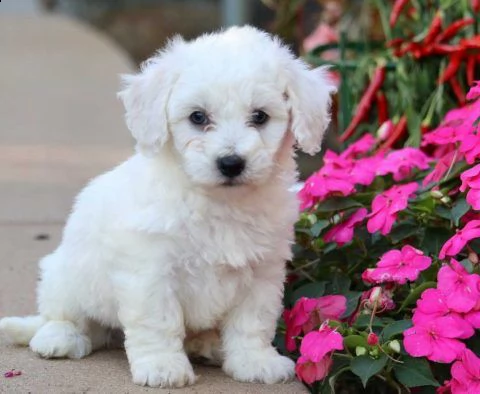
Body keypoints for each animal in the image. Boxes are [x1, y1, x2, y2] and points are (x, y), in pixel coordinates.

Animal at [0, 26, 334, 388]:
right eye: (198, 117)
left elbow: (253, 321)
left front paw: (255, 361)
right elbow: (157, 321)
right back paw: (58, 337)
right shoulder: (150, 271)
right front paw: (162, 366)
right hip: (66, 274)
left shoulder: (263, 271)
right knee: (63, 314)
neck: (217, 201)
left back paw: (208, 346)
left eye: (259, 116)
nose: (231, 163)